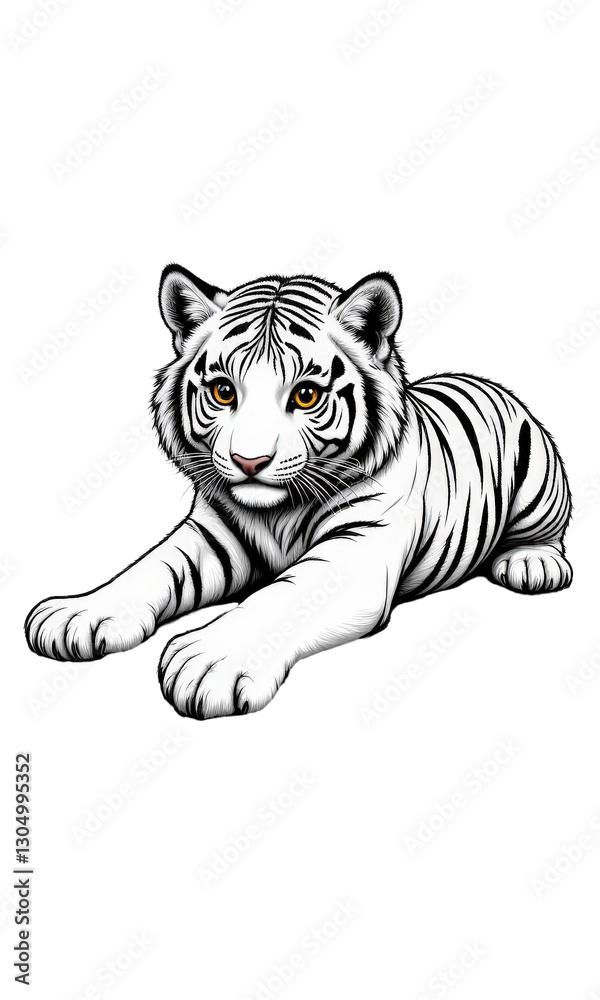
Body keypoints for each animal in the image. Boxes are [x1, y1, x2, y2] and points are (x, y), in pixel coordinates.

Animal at [25, 265, 573, 720]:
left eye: (305, 395)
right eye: (223, 392)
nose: (250, 461)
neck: (278, 512)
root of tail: (480, 378)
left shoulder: (356, 551)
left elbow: (282, 597)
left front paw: (209, 659)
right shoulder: (214, 535)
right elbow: (147, 569)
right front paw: (79, 613)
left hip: (541, 484)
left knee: (549, 533)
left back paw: (531, 563)